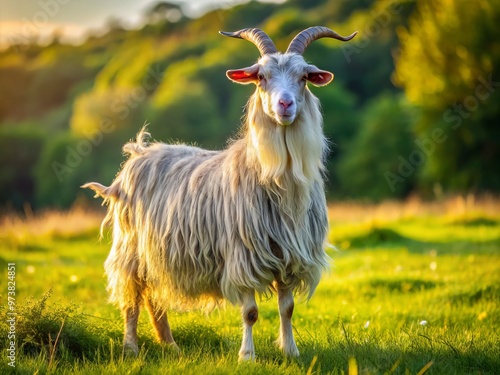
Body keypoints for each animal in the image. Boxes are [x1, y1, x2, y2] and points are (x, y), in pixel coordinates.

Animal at [83, 26, 356, 362]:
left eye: (304, 76)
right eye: (261, 77)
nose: (285, 105)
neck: (277, 181)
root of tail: (138, 153)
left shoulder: (288, 258)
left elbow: (288, 309)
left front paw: (291, 351)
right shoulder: (243, 257)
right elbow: (250, 312)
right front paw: (247, 356)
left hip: (156, 253)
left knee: (153, 298)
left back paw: (170, 346)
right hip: (130, 248)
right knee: (133, 297)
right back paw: (131, 348)